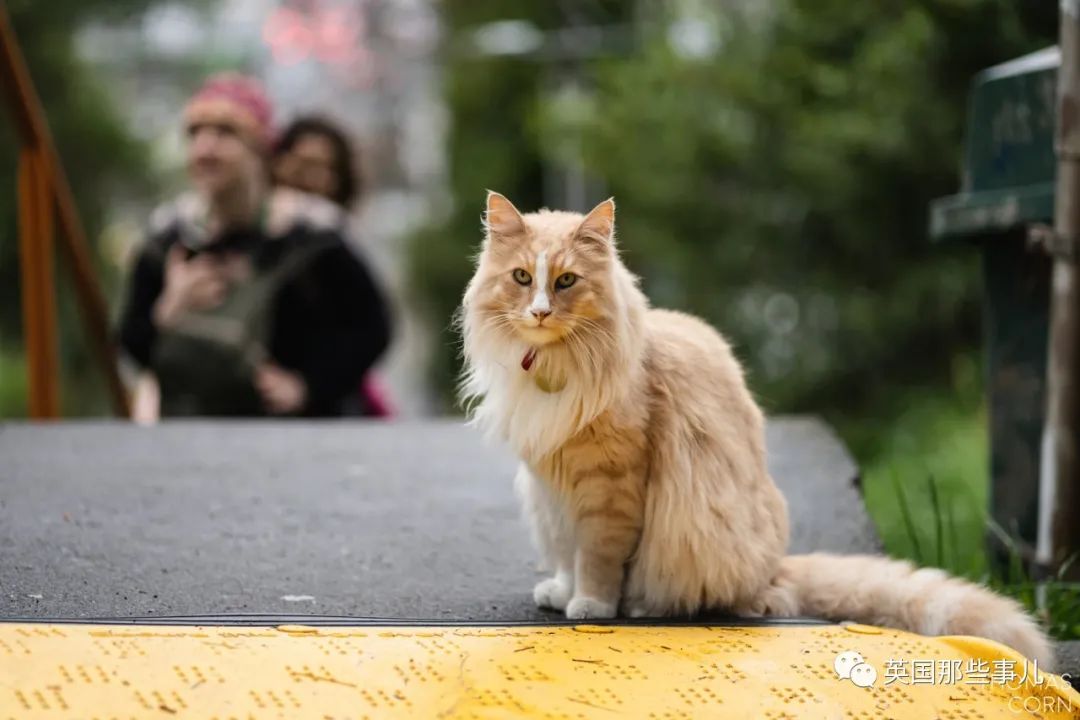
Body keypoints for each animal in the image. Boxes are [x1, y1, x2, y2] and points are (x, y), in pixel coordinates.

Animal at [462, 193, 1054, 669]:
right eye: (522, 278)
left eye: (565, 281)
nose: (540, 312)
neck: (555, 368)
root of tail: (773, 568)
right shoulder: (550, 485)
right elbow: (566, 550)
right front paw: (562, 591)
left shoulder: (610, 486)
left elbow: (598, 556)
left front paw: (593, 605)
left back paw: (646, 602)